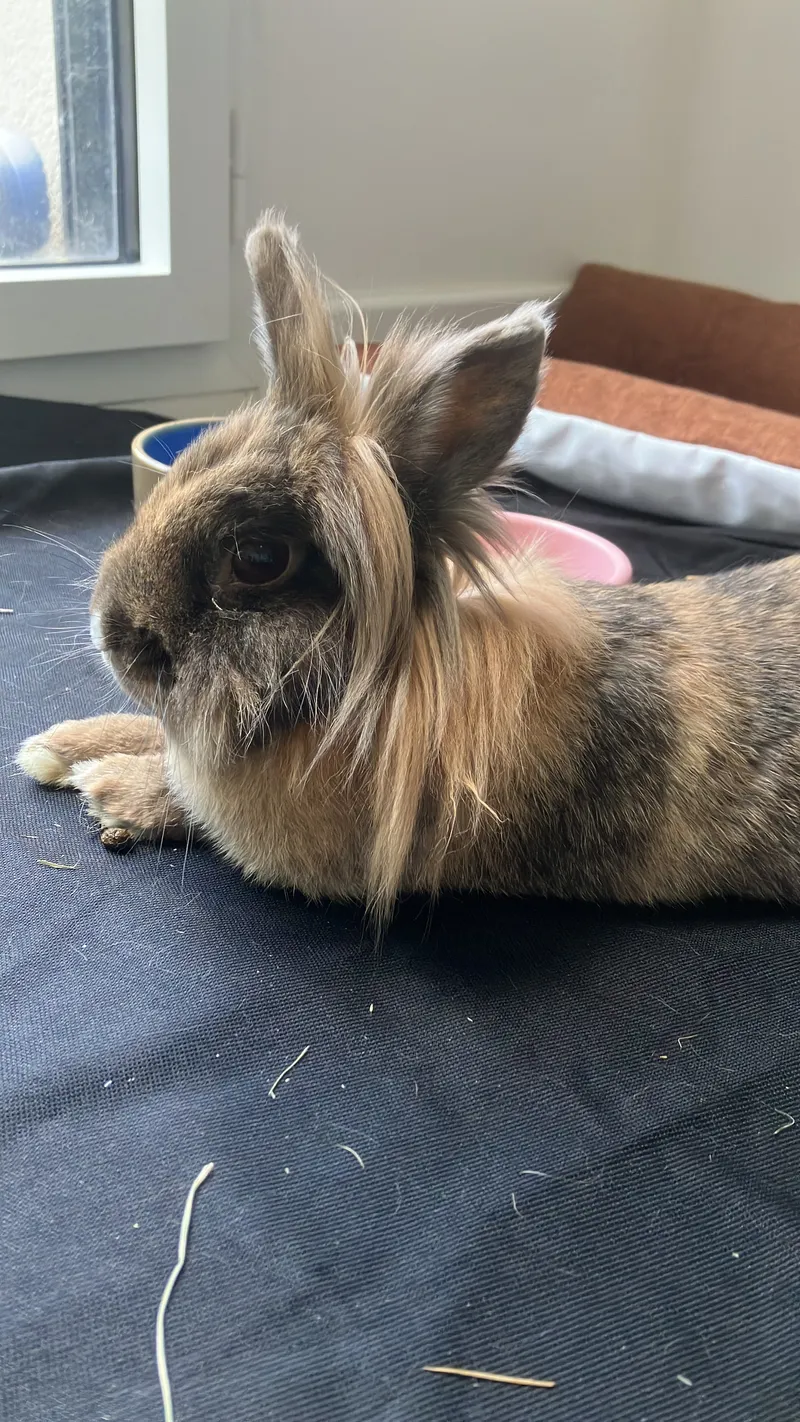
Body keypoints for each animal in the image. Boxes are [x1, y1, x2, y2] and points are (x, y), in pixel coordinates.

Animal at [17, 212, 800, 923]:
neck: (366, 696)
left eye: (259, 559)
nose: (111, 633)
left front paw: (107, 788)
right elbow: (158, 739)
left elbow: (188, 800)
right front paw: (60, 747)